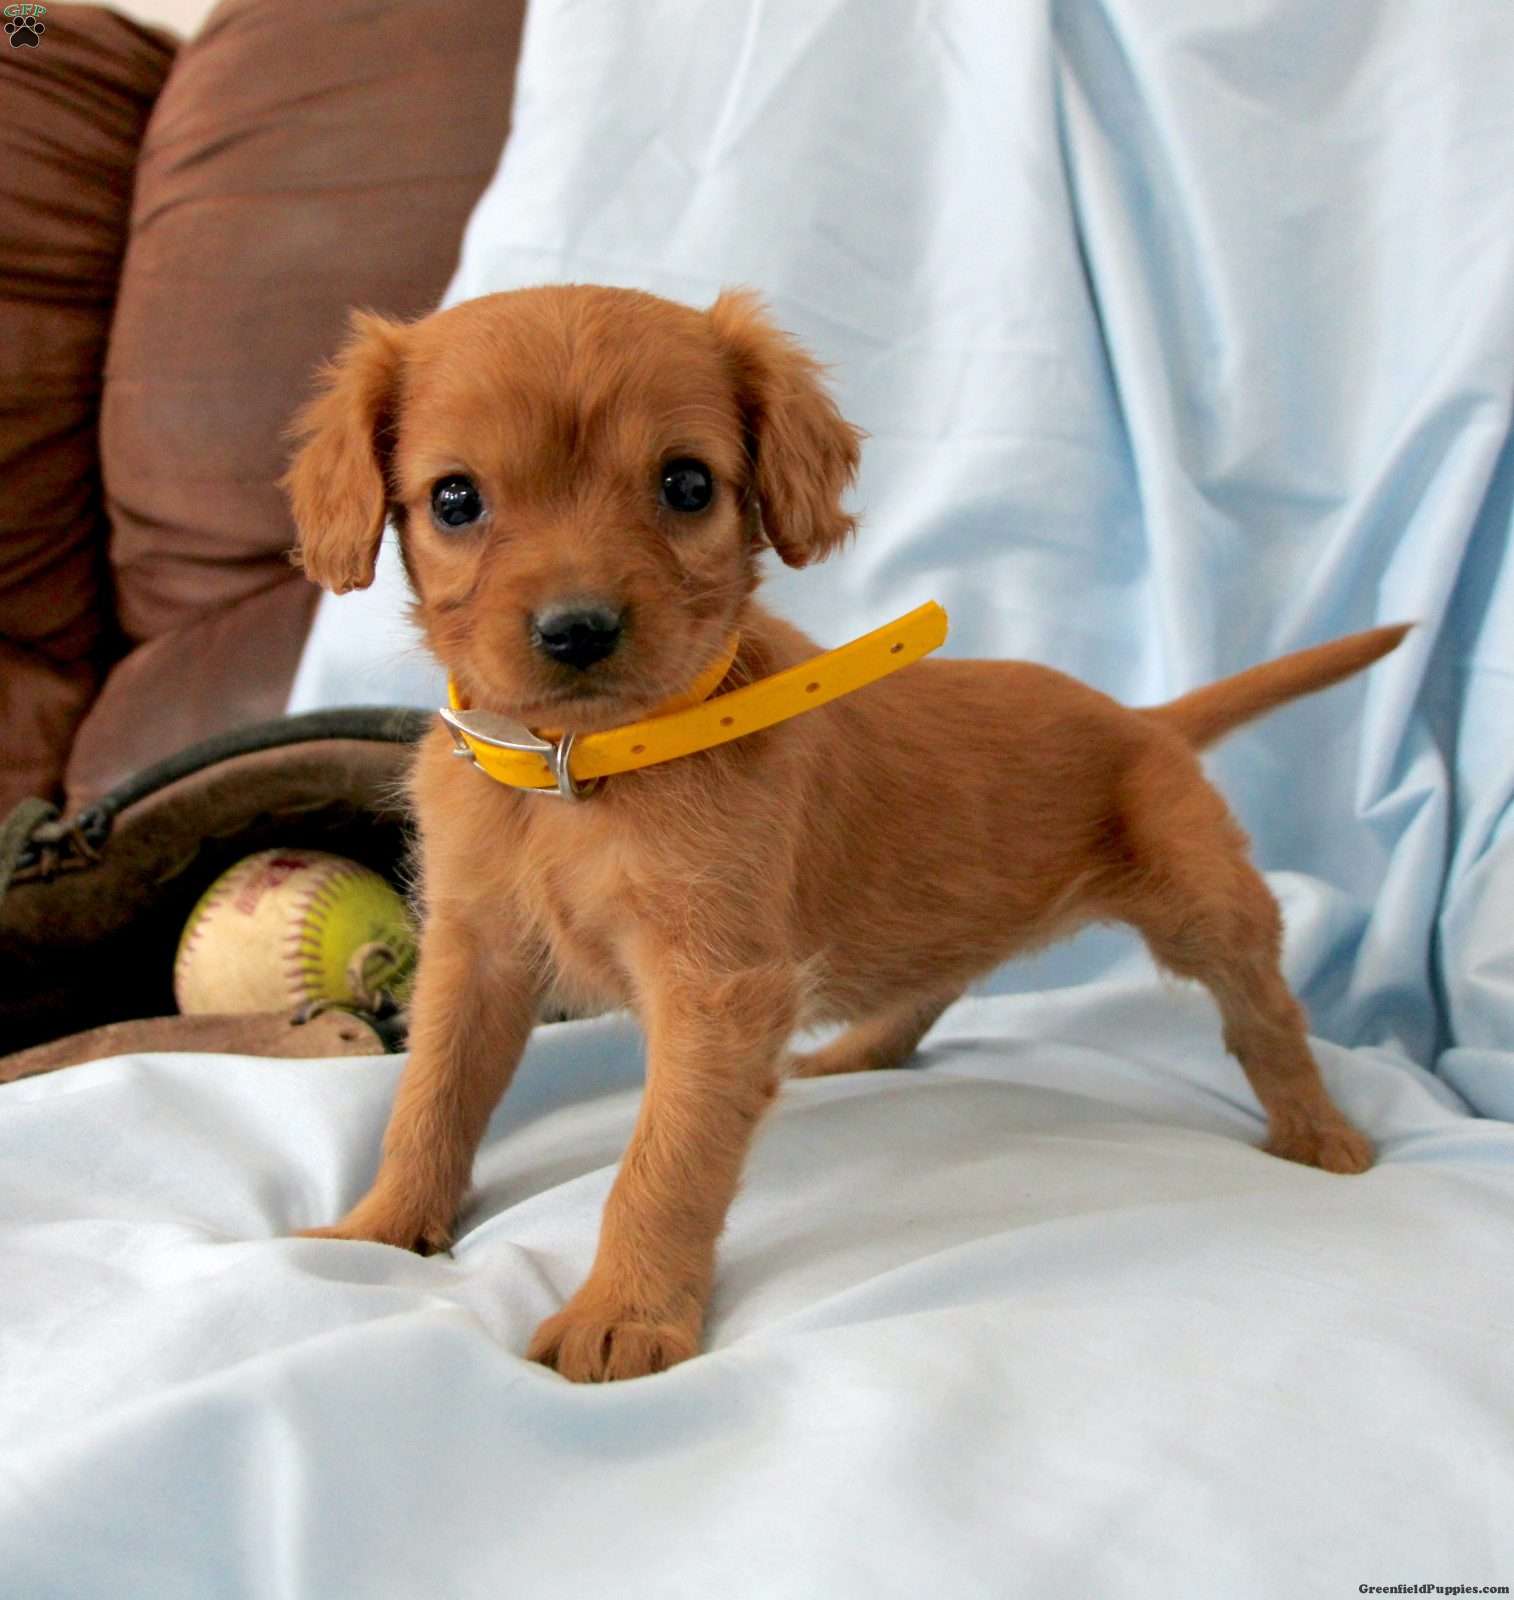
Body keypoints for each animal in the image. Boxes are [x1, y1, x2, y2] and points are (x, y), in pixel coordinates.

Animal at [283, 288, 1401, 1388]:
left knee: (1264, 1014)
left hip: (1202, 903)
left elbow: (662, 1162)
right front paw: (379, 1228)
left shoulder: (719, 993)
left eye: (686, 484)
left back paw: (1319, 1131)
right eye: (455, 500)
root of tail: (1144, 718)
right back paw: (863, 1050)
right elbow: (430, 1099)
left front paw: (624, 1314)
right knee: (939, 976)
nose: (576, 630)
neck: (584, 771)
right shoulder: (477, 952)